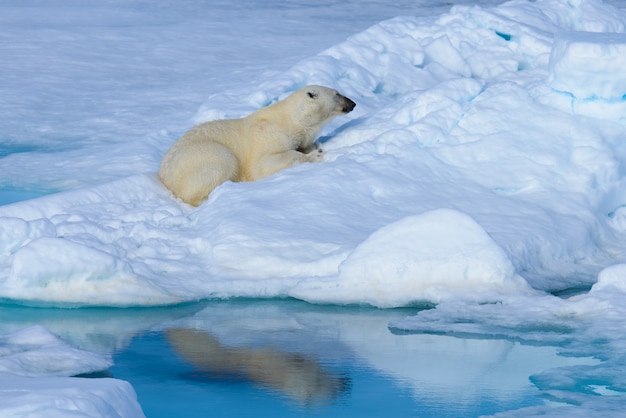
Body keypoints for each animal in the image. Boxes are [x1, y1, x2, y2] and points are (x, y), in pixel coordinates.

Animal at [158, 85, 354, 207]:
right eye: (337, 93)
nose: (353, 103)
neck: (290, 121)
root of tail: (164, 178)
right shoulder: (270, 135)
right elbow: (262, 165)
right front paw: (316, 155)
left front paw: (313, 148)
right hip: (202, 155)